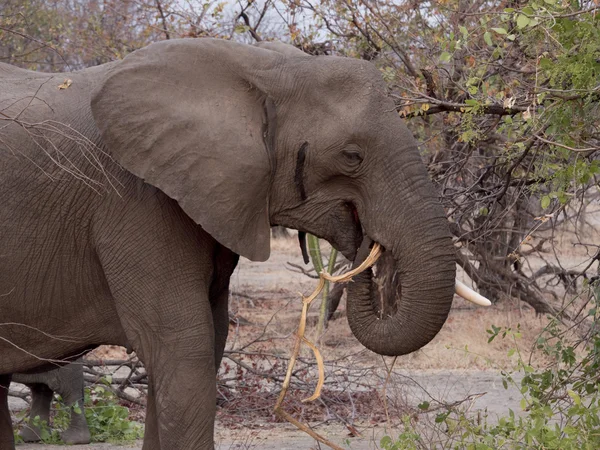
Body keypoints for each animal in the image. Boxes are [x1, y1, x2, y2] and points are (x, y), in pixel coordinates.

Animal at [0, 38, 488, 450]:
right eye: (352, 156)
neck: (263, 69)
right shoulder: (134, 200)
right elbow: (185, 345)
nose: (367, 242)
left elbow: (207, 342)